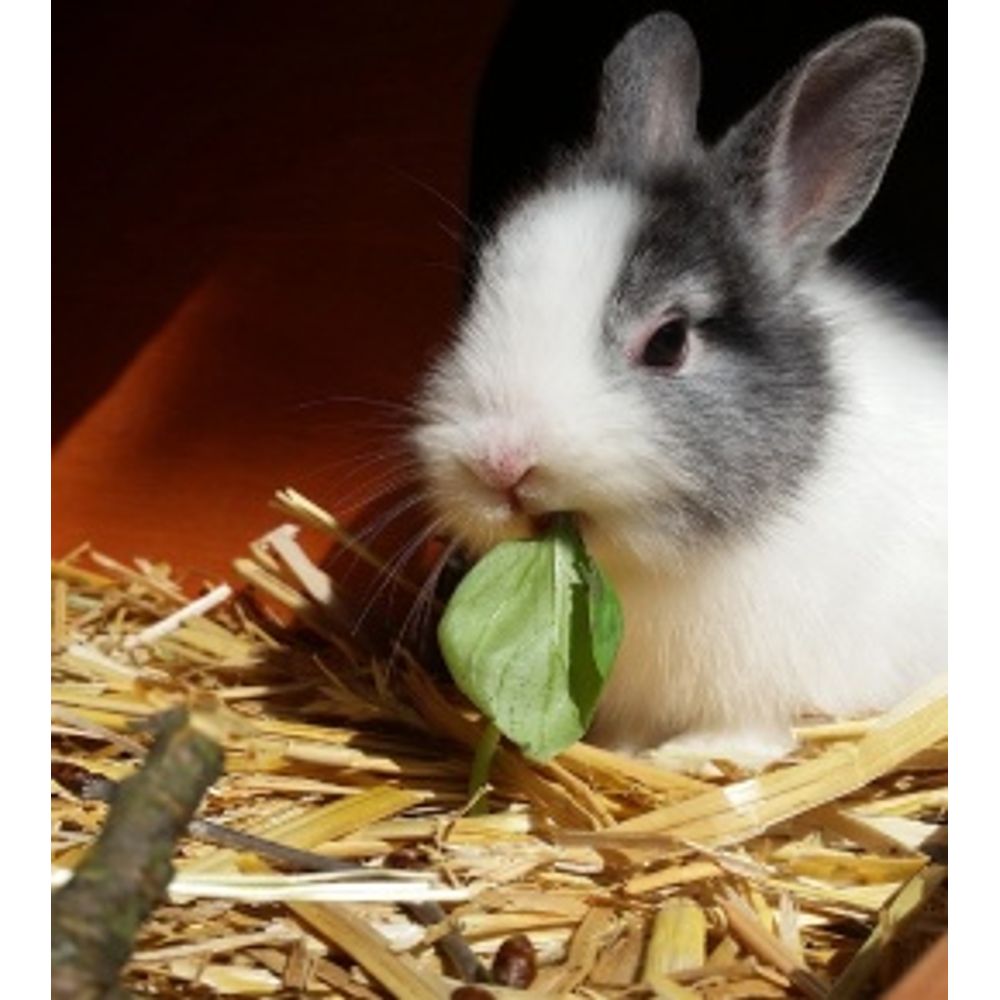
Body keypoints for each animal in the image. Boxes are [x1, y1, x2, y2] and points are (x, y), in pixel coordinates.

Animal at [411, 12, 946, 767]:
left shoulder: (763, 686)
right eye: (481, 294)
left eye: (668, 342)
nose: (500, 464)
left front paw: (687, 757)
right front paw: (629, 751)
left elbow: (749, 732)